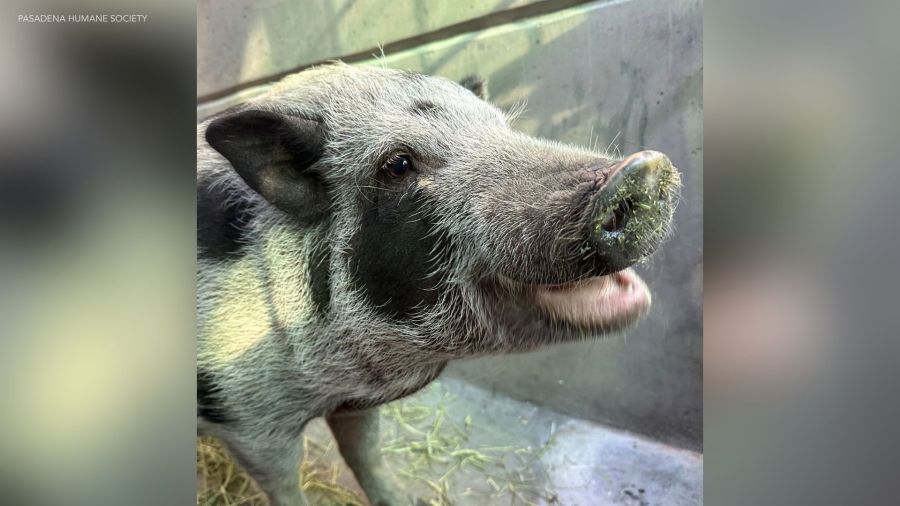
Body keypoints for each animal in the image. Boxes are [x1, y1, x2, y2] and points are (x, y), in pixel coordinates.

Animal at [197, 62, 680, 506]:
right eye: (397, 164)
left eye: (501, 126)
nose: (641, 171)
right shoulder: (250, 422)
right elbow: (286, 487)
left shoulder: (355, 405)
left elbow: (366, 456)